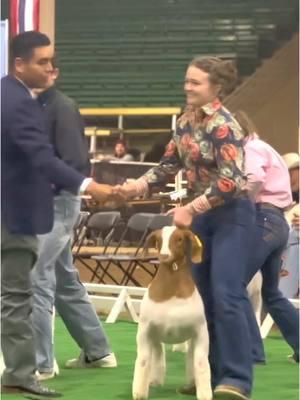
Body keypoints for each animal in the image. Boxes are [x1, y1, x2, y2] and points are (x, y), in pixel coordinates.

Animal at [132, 227, 212, 400]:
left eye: (180, 239)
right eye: (158, 239)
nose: (164, 255)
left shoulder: (201, 332)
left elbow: (201, 363)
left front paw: (205, 394)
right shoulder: (144, 331)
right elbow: (143, 360)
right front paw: (139, 393)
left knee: (189, 358)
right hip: (155, 337)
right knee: (158, 355)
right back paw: (155, 381)